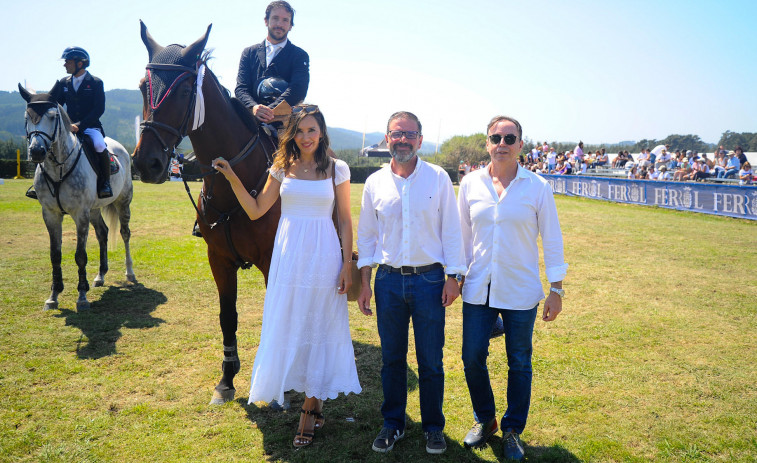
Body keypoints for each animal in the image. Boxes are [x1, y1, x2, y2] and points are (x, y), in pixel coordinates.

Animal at [19, 85, 136, 314]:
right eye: (27, 117)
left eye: (53, 116)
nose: (36, 151)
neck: (58, 168)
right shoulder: (51, 214)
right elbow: (55, 254)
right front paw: (53, 296)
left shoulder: (80, 213)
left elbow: (80, 255)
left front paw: (82, 296)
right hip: (94, 209)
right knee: (102, 233)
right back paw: (100, 275)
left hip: (122, 202)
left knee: (125, 233)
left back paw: (129, 273)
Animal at [132, 23, 280, 404]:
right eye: (141, 87)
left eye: (185, 90)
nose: (147, 163)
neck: (235, 183)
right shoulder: (219, 258)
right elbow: (227, 316)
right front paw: (226, 378)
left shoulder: (271, 258)